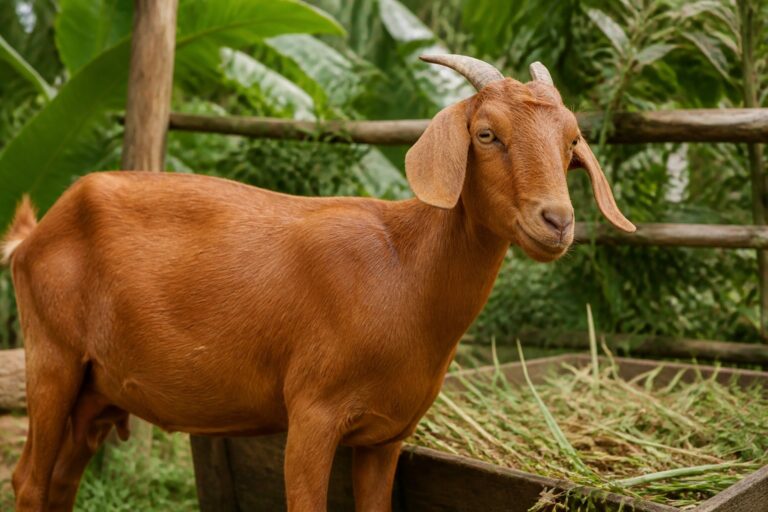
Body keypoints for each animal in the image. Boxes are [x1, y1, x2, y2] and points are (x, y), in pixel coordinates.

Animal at [4, 55, 634, 512]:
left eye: (571, 142)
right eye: (485, 134)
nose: (556, 221)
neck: (404, 270)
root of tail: (38, 231)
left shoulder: (385, 436)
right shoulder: (311, 413)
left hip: (97, 390)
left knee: (61, 484)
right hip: (52, 356)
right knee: (29, 480)